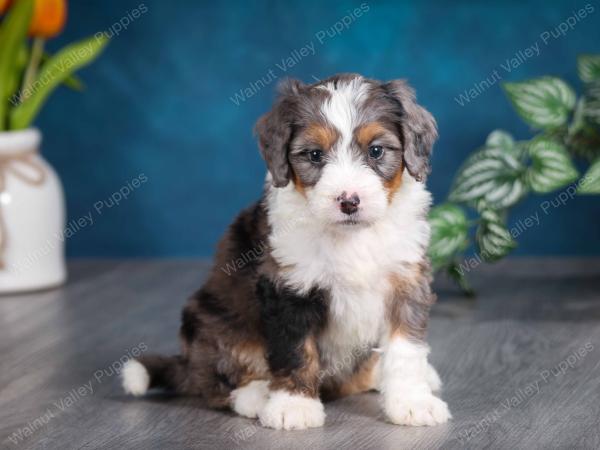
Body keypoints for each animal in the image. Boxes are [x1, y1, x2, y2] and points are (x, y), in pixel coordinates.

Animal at [122, 73, 450, 428]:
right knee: (217, 378)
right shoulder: (289, 286)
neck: (351, 236)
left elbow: (406, 348)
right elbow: (295, 348)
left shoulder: (406, 279)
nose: (349, 201)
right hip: (212, 321)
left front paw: (412, 401)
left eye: (376, 151)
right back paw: (255, 396)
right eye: (315, 155)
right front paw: (293, 405)